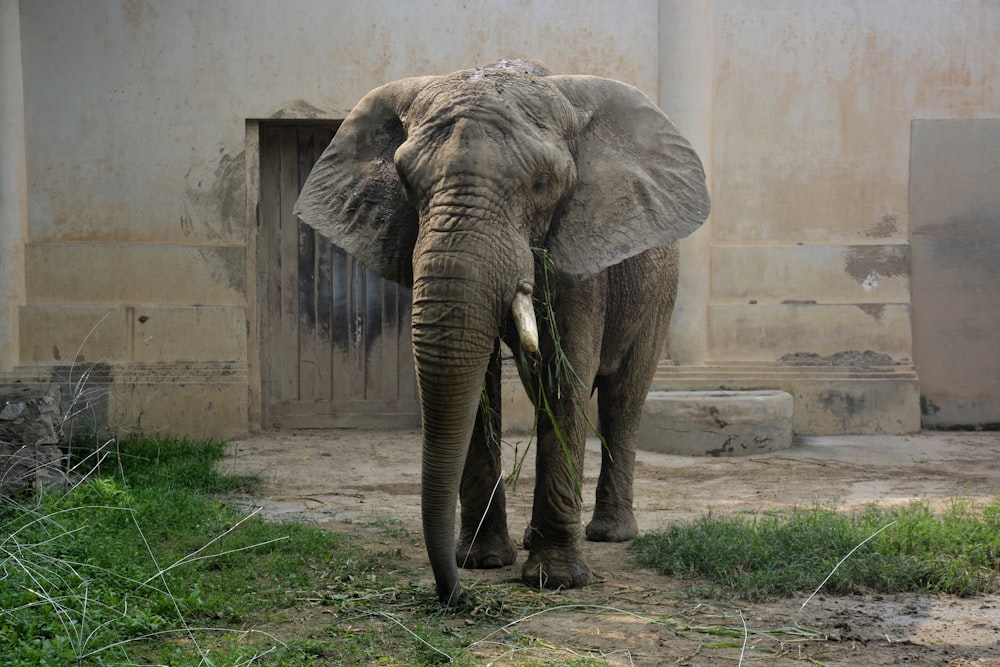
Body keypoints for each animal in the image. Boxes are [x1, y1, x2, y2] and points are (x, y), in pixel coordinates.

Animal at [292, 61, 708, 604]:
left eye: (543, 183)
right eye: (404, 181)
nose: (452, 595)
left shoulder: (579, 252)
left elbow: (565, 378)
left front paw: (554, 580)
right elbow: (481, 383)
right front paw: (483, 561)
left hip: (660, 293)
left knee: (623, 396)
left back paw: (610, 533)